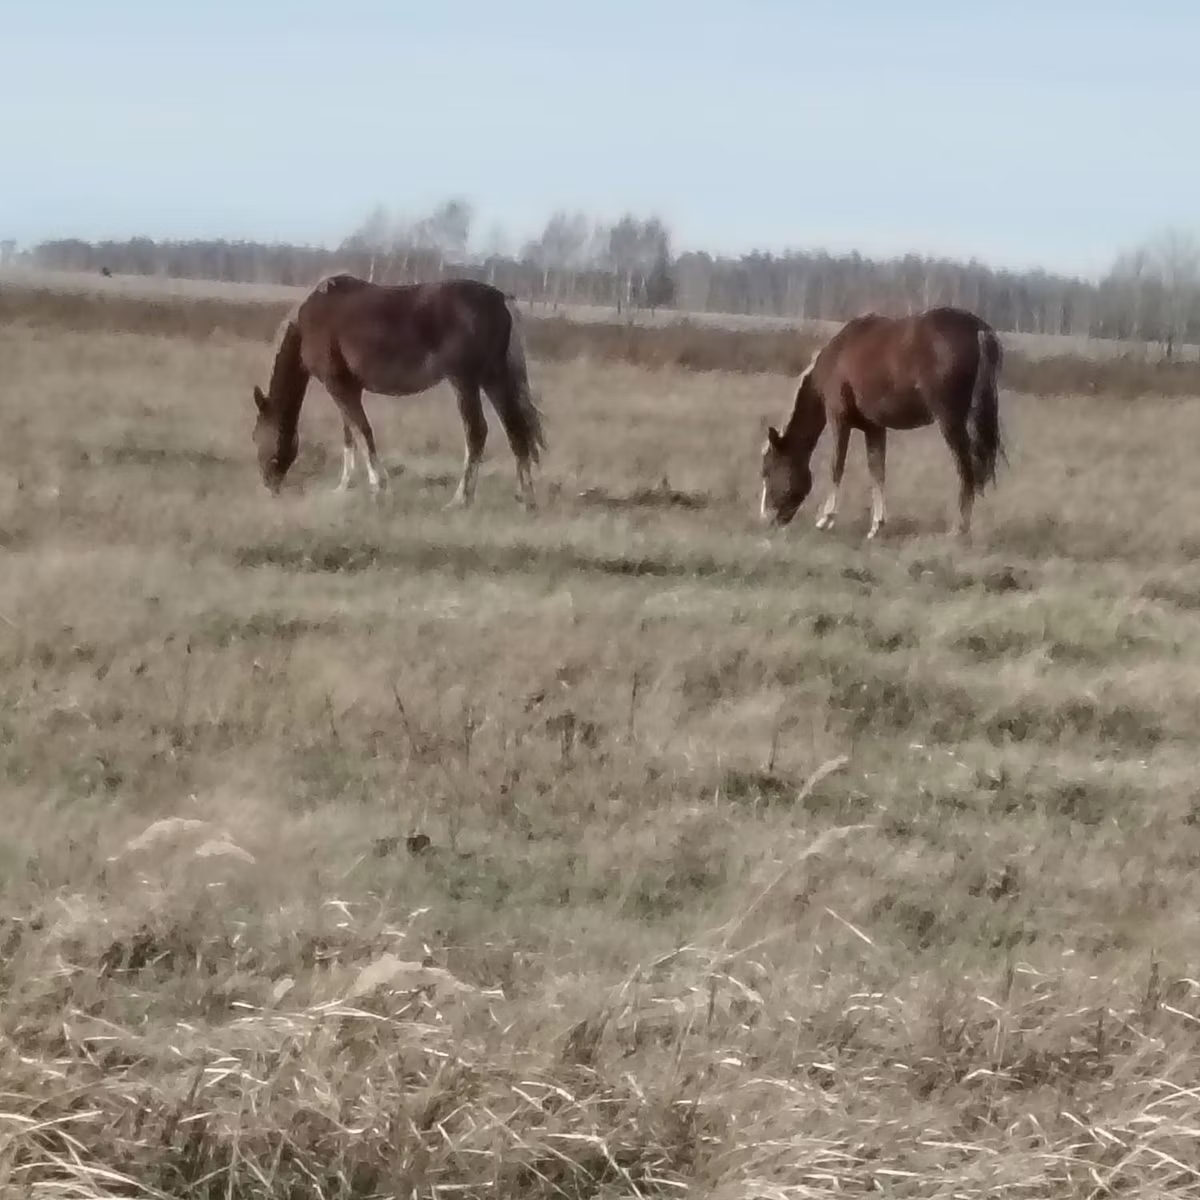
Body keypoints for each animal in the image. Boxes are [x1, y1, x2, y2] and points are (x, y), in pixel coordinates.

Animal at [250, 273, 546, 508]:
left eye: (256, 436)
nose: (269, 485)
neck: (309, 321)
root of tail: (501, 299)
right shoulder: (348, 388)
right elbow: (350, 435)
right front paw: (343, 487)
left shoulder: (338, 386)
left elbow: (363, 431)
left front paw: (378, 486)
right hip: (494, 379)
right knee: (516, 432)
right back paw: (526, 498)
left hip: (465, 381)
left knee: (476, 432)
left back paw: (460, 499)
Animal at [759, 305, 1005, 539]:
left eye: (767, 470)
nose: (767, 518)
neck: (834, 360)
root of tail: (978, 330)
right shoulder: (874, 427)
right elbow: (877, 471)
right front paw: (876, 526)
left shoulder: (839, 419)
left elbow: (836, 466)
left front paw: (825, 519)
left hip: (950, 421)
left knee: (966, 470)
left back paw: (958, 529)